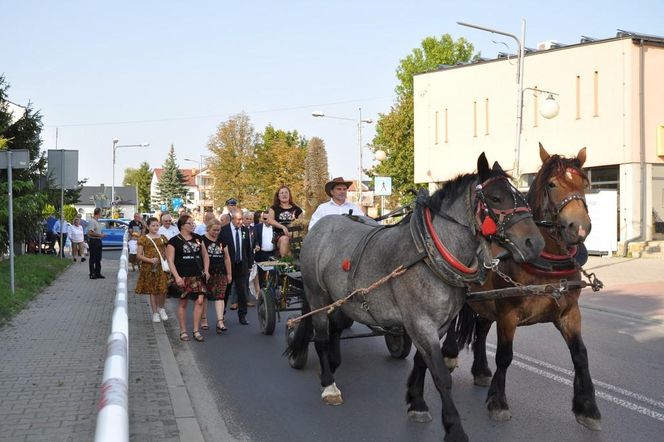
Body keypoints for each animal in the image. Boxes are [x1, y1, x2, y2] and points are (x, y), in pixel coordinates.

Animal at [286, 153, 544, 442]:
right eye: (496, 198)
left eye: (521, 197)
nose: (535, 243)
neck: (429, 253)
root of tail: (319, 225)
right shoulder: (421, 323)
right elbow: (441, 376)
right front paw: (454, 428)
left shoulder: (437, 325)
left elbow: (422, 362)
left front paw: (417, 404)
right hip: (317, 295)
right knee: (320, 337)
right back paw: (329, 384)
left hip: (341, 300)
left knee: (337, 328)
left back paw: (333, 362)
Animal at [440, 144, 600, 432]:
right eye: (551, 184)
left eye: (585, 183)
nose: (579, 228)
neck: (546, 259)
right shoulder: (508, 313)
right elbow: (505, 356)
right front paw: (498, 402)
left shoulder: (569, 312)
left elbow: (580, 355)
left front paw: (588, 408)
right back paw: (449, 354)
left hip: (485, 301)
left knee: (481, 329)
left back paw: (481, 369)